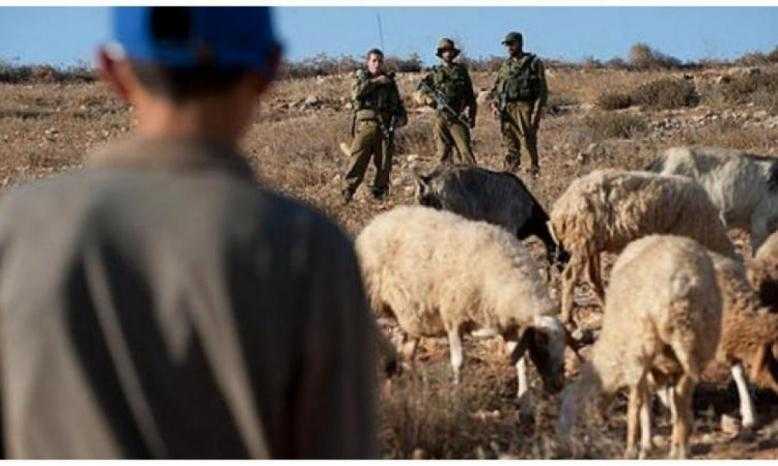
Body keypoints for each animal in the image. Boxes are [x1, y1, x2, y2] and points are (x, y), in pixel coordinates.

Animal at [354, 206, 568, 398]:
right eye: (544, 348)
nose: (558, 387)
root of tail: (379, 220)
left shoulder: (509, 326)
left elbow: (519, 361)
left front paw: (524, 398)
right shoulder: (453, 318)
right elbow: (458, 362)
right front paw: (457, 395)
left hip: (411, 315)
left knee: (406, 352)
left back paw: (410, 390)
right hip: (371, 297)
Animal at [544, 169, 732, 326]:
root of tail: (559, 209)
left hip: (592, 243)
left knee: (593, 277)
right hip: (582, 239)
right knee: (570, 276)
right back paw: (568, 319)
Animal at [556, 235, 720, 460]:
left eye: (571, 412)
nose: (562, 447)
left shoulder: (635, 362)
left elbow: (638, 402)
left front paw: (640, 446)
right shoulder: (655, 368)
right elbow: (653, 399)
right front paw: (652, 443)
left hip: (644, 344)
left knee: (644, 401)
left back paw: (636, 448)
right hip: (702, 342)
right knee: (682, 396)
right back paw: (679, 449)